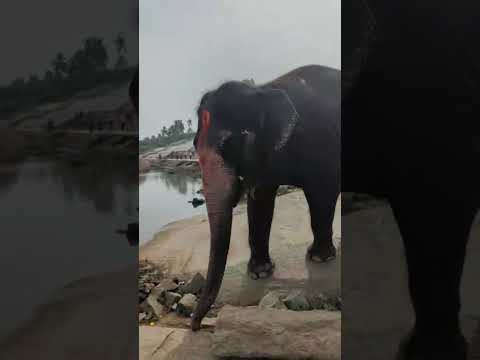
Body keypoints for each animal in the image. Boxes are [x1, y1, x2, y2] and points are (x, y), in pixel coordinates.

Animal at [191, 64, 342, 330]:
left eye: (230, 143)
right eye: (194, 144)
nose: (197, 325)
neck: (263, 88)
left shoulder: (322, 146)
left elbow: (322, 194)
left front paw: (319, 258)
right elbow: (260, 199)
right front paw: (260, 273)